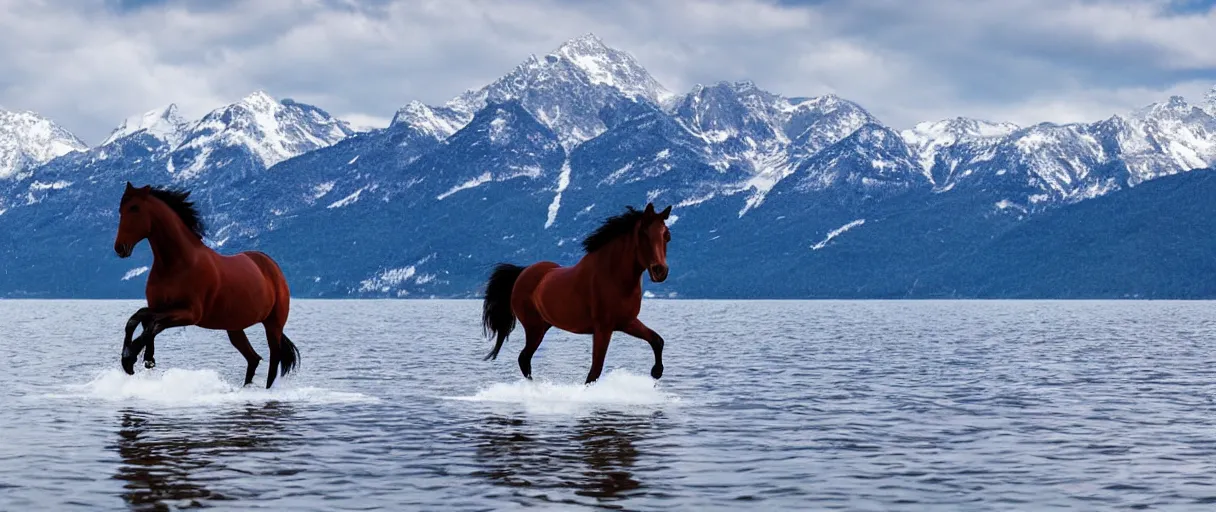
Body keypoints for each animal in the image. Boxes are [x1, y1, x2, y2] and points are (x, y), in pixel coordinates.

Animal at [113, 183, 299, 386]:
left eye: (134, 208)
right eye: (121, 210)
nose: (120, 247)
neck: (176, 264)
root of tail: (272, 266)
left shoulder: (191, 314)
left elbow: (153, 325)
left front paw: (130, 357)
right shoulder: (158, 306)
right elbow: (138, 318)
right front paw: (145, 358)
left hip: (273, 325)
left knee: (273, 361)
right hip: (235, 327)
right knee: (253, 358)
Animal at [481, 203, 676, 384]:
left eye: (667, 235)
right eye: (644, 233)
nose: (660, 270)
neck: (614, 276)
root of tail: (522, 272)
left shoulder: (626, 322)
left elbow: (657, 340)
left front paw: (656, 372)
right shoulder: (603, 328)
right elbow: (594, 372)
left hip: (544, 324)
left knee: (525, 359)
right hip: (534, 327)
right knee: (524, 358)